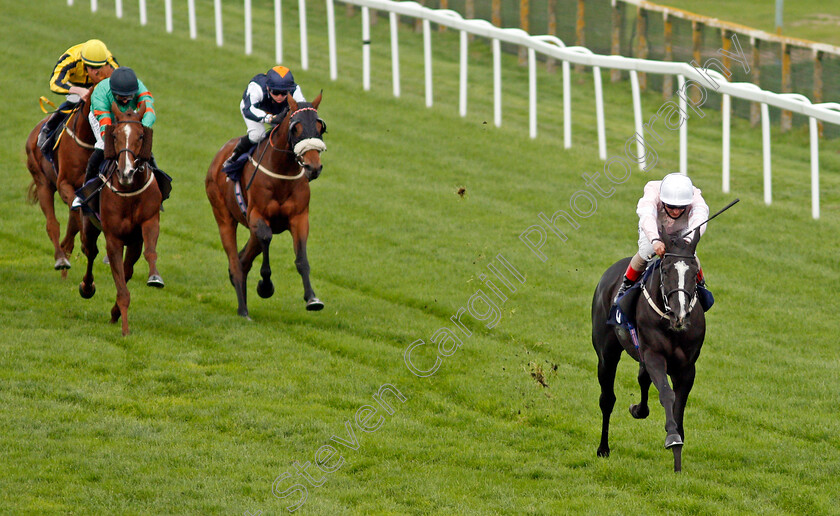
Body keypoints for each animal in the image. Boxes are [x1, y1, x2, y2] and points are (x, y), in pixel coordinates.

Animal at [79, 102, 164, 336]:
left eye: (141, 135)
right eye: (115, 135)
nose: (126, 172)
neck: (129, 191)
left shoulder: (146, 225)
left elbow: (148, 255)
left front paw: (155, 278)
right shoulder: (114, 239)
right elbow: (121, 284)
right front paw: (124, 329)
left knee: (127, 268)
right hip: (89, 224)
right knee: (90, 252)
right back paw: (86, 287)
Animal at [207, 93, 328, 318]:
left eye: (319, 127)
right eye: (296, 128)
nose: (313, 167)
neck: (282, 173)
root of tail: (218, 157)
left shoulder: (299, 218)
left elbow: (301, 259)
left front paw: (312, 298)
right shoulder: (258, 216)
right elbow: (266, 241)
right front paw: (265, 286)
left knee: (243, 259)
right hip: (224, 217)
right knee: (236, 262)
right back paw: (243, 310)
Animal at [592, 230, 704, 472]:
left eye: (694, 273)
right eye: (666, 269)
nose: (680, 315)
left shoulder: (687, 367)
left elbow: (679, 403)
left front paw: (677, 454)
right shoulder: (654, 355)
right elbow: (667, 393)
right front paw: (673, 438)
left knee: (642, 379)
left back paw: (638, 410)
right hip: (606, 354)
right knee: (607, 399)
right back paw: (603, 448)